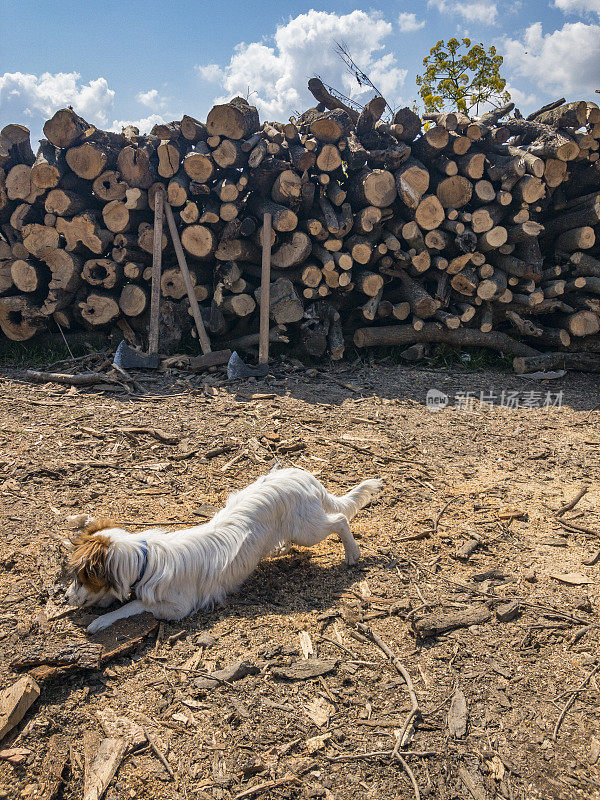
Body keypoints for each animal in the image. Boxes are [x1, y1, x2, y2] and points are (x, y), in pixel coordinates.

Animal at [65, 468, 382, 632]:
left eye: (80, 579)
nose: (65, 597)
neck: (146, 559)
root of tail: (302, 475)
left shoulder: (178, 608)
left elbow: (134, 605)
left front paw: (100, 622)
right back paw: (279, 549)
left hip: (307, 530)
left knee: (340, 520)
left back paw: (352, 554)